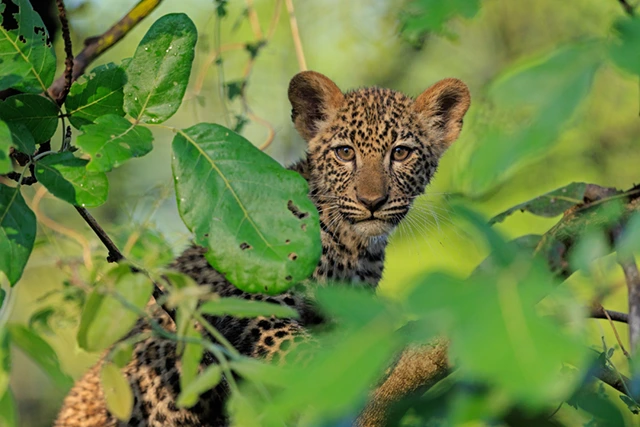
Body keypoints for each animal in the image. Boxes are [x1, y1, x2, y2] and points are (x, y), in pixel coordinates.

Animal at [54, 70, 470, 427]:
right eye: (345, 153)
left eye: (400, 153)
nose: (372, 202)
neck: (351, 248)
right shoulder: (242, 301)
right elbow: (293, 344)